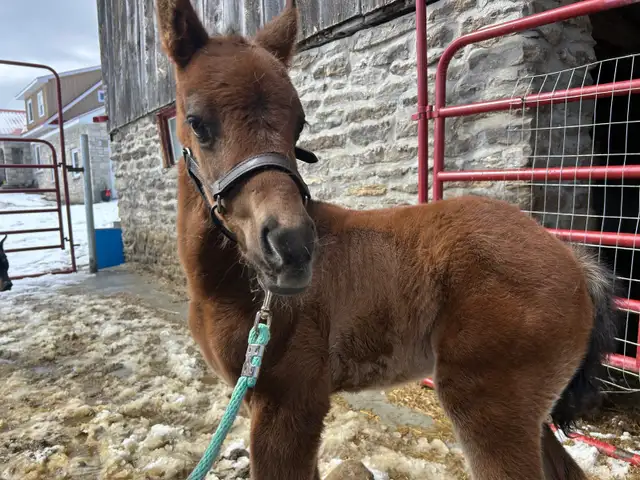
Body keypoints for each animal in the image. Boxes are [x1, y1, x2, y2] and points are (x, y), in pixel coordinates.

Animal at [155, 1, 616, 478]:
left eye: (298, 125)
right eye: (197, 124)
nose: (293, 247)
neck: (225, 291)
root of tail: (575, 262)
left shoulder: (290, 406)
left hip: (488, 404)